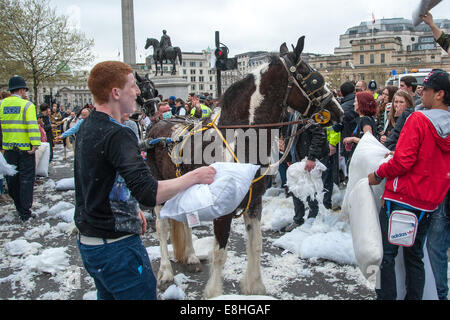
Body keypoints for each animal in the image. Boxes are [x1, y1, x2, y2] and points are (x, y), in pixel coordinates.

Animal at [144, 36, 344, 298]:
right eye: (314, 78)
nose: (339, 111)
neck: (241, 138)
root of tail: (157, 125)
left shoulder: (254, 201)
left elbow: (256, 245)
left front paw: (255, 287)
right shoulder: (223, 209)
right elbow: (220, 253)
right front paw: (215, 292)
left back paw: (190, 257)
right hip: (160, 190)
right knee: (162, 227)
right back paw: (166, 272)